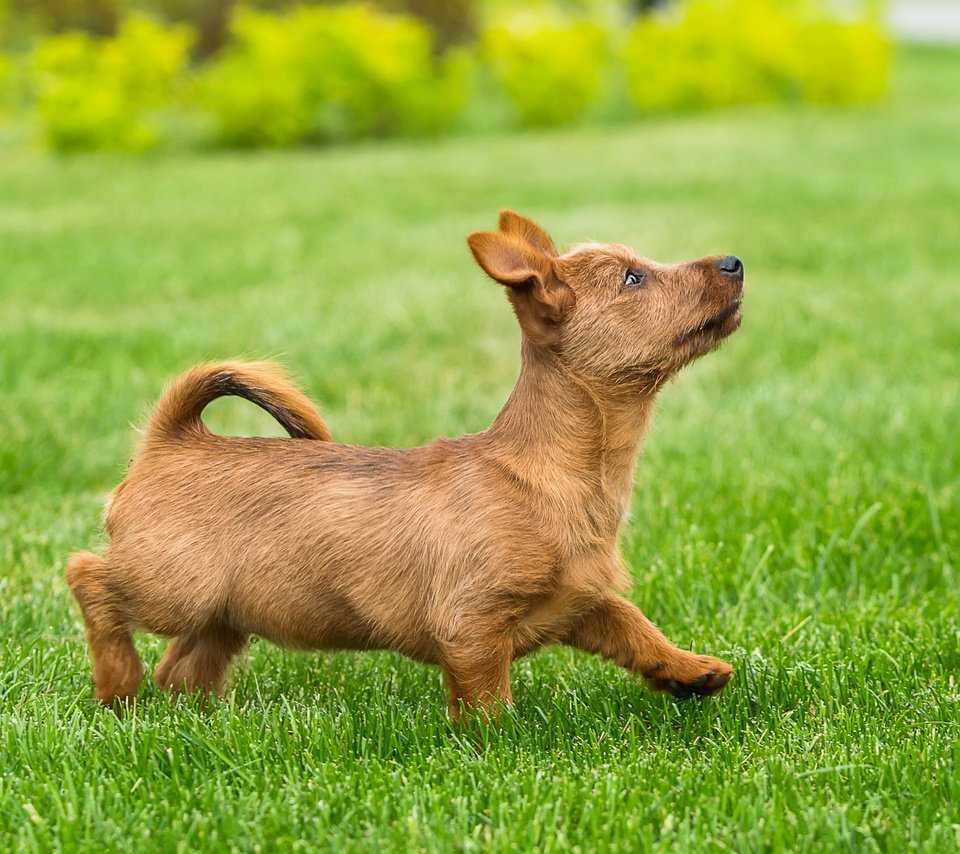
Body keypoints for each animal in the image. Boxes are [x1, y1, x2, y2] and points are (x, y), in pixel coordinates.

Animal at [67, 211, 744, 720]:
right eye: (633, 279)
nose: (734, 262)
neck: (550, 474)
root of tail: (172, 439)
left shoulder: (579, 602)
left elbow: (633, 625)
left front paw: (688, 670)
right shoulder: (471, 628)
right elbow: (487, 701)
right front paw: (499, 746)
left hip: (224, 611)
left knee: (181, 666)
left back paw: (196, 715)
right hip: (171, 586)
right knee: (89, 578)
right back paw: (118, 683)